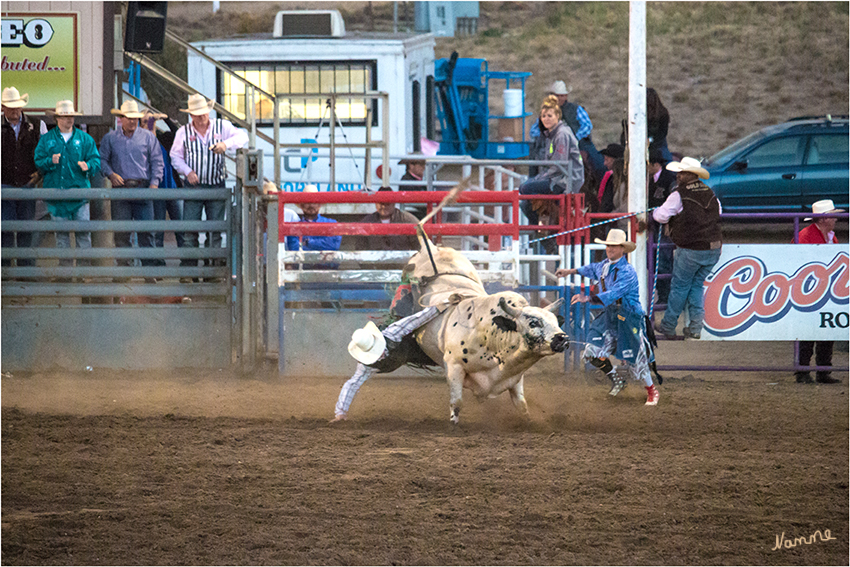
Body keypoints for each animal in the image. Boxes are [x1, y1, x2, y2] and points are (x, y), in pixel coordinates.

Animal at [402, 242, 568, 424]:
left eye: (556, 322)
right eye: (533, 322)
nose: (562, 338)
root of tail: (432, 247)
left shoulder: (516, 377)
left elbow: (521, 405)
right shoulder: (454, 366)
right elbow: (456, 402)